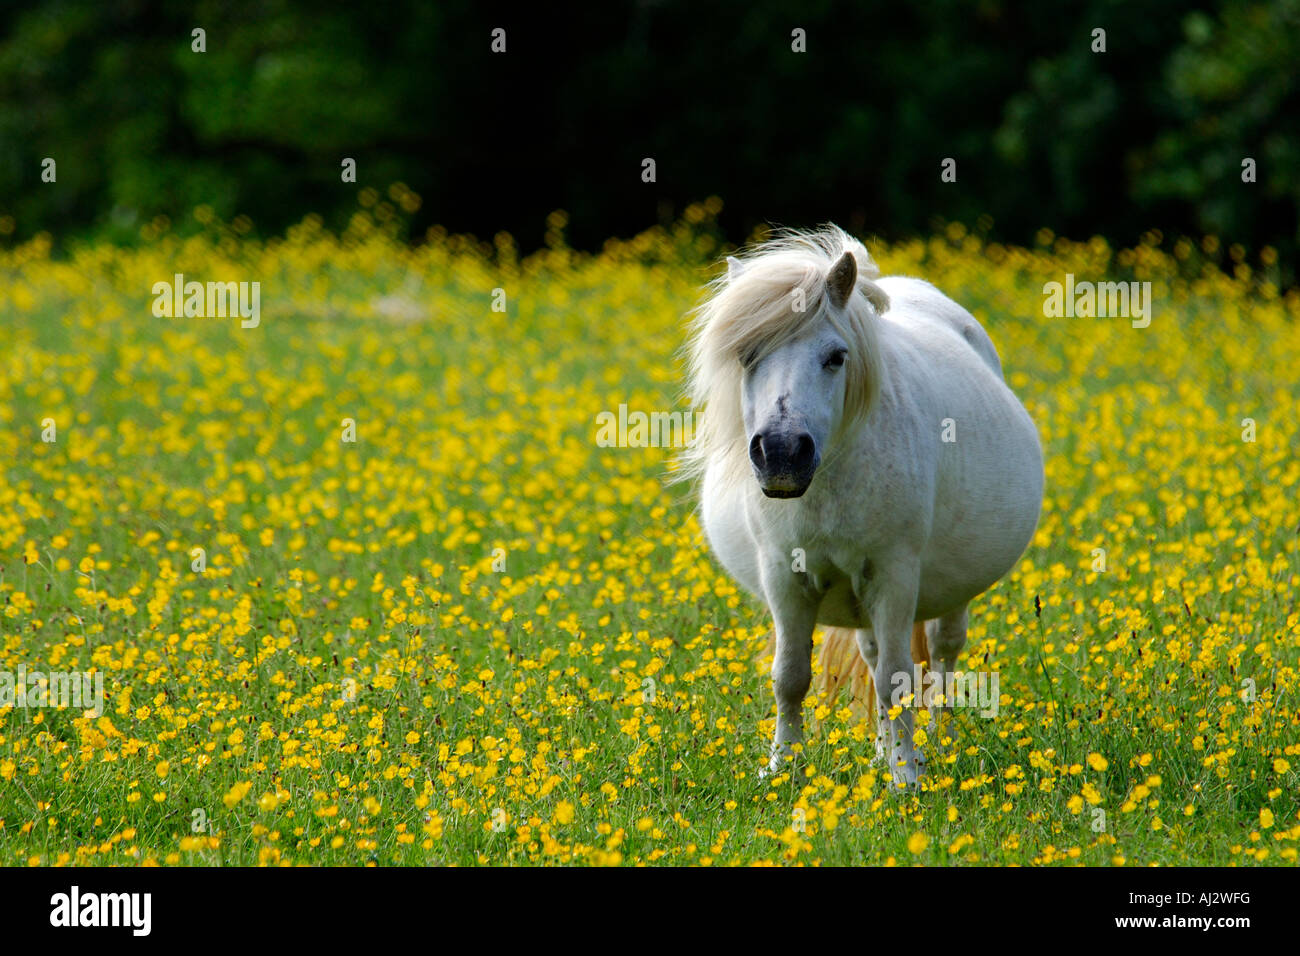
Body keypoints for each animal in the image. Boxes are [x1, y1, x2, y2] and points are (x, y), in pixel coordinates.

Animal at [686, 223, 1040, 785]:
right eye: (745, 355)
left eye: (836, 356)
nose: (782, 453)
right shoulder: (784, 577)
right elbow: (791, 677)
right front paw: (783, 768)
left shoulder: (893, 576)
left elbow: (898, 678)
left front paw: (906, 780)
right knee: (874, 659)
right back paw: (882, 752)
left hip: (949, 595)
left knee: (942, 654)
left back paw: (938, 745)